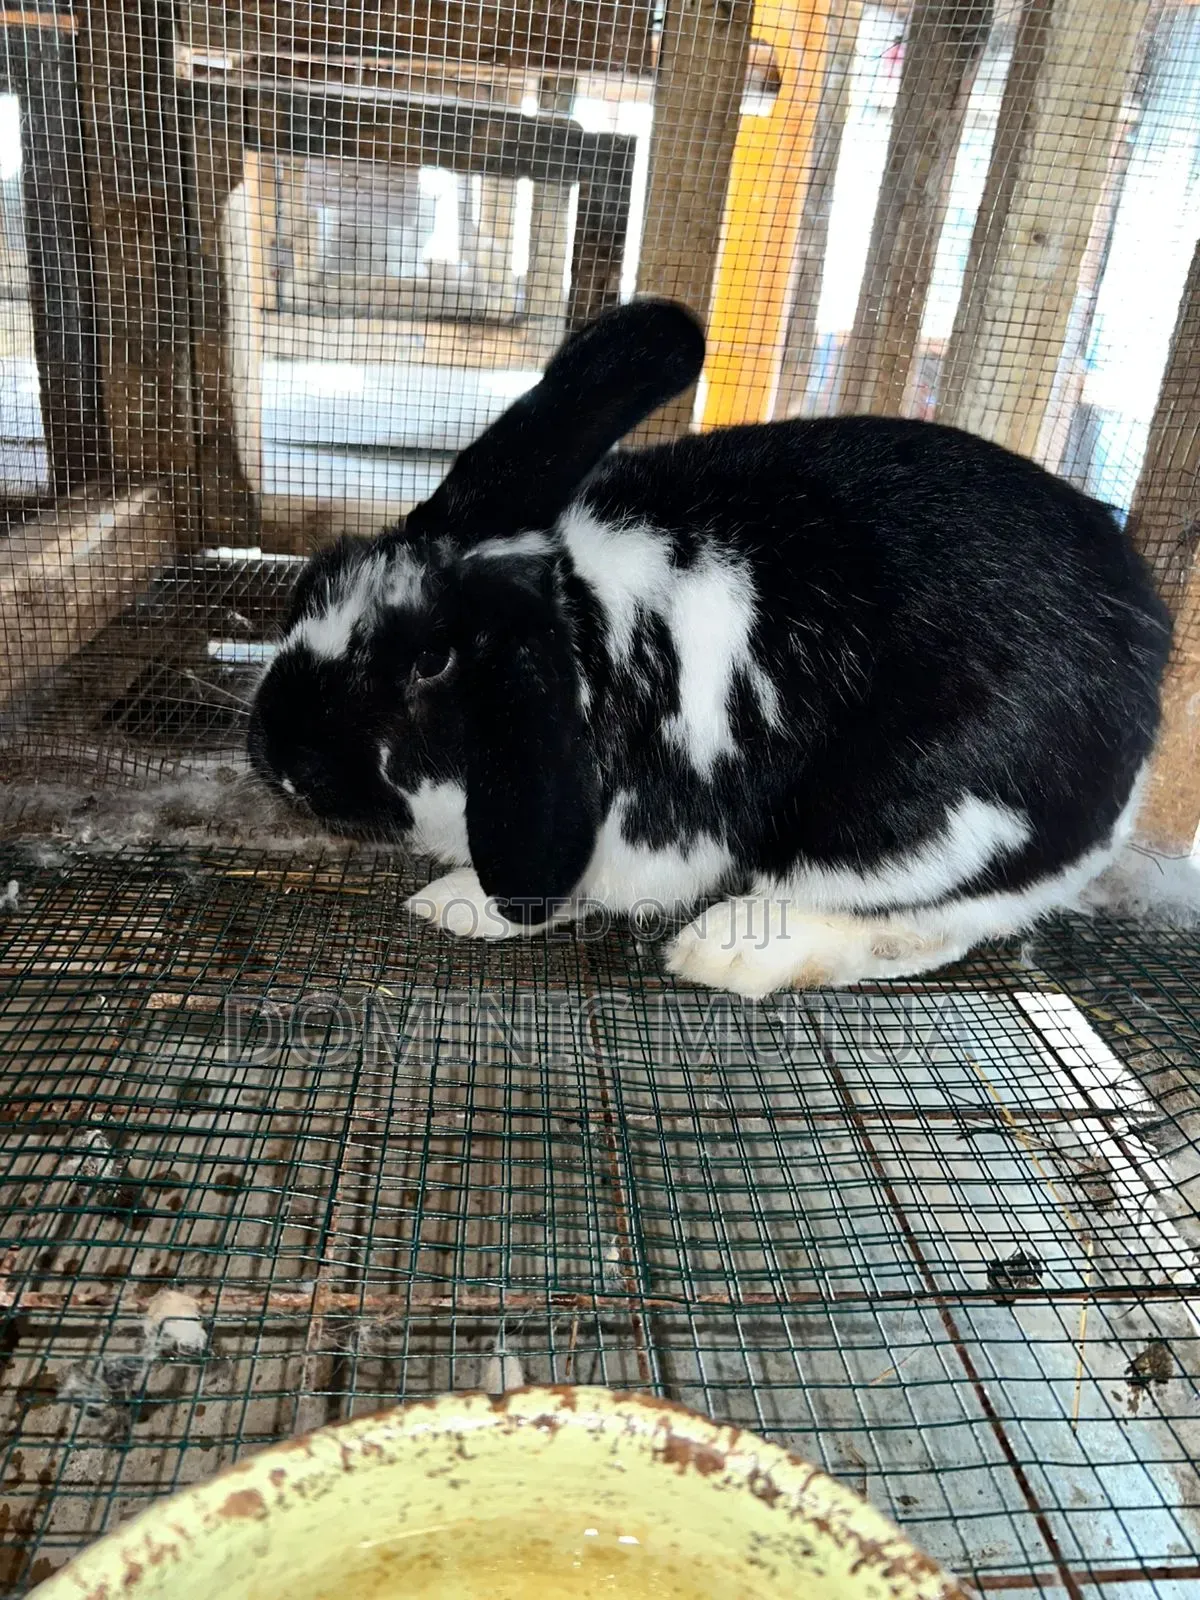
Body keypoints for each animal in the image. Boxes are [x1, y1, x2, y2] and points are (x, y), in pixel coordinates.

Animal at [247, 298, 1172, 997]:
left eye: (431, 663)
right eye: (325, 575)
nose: (278, 758)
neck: (586, 629)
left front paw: (456, 902)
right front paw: (451, 904)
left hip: (900, 838)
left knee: (922, 930)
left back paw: (727, 952)